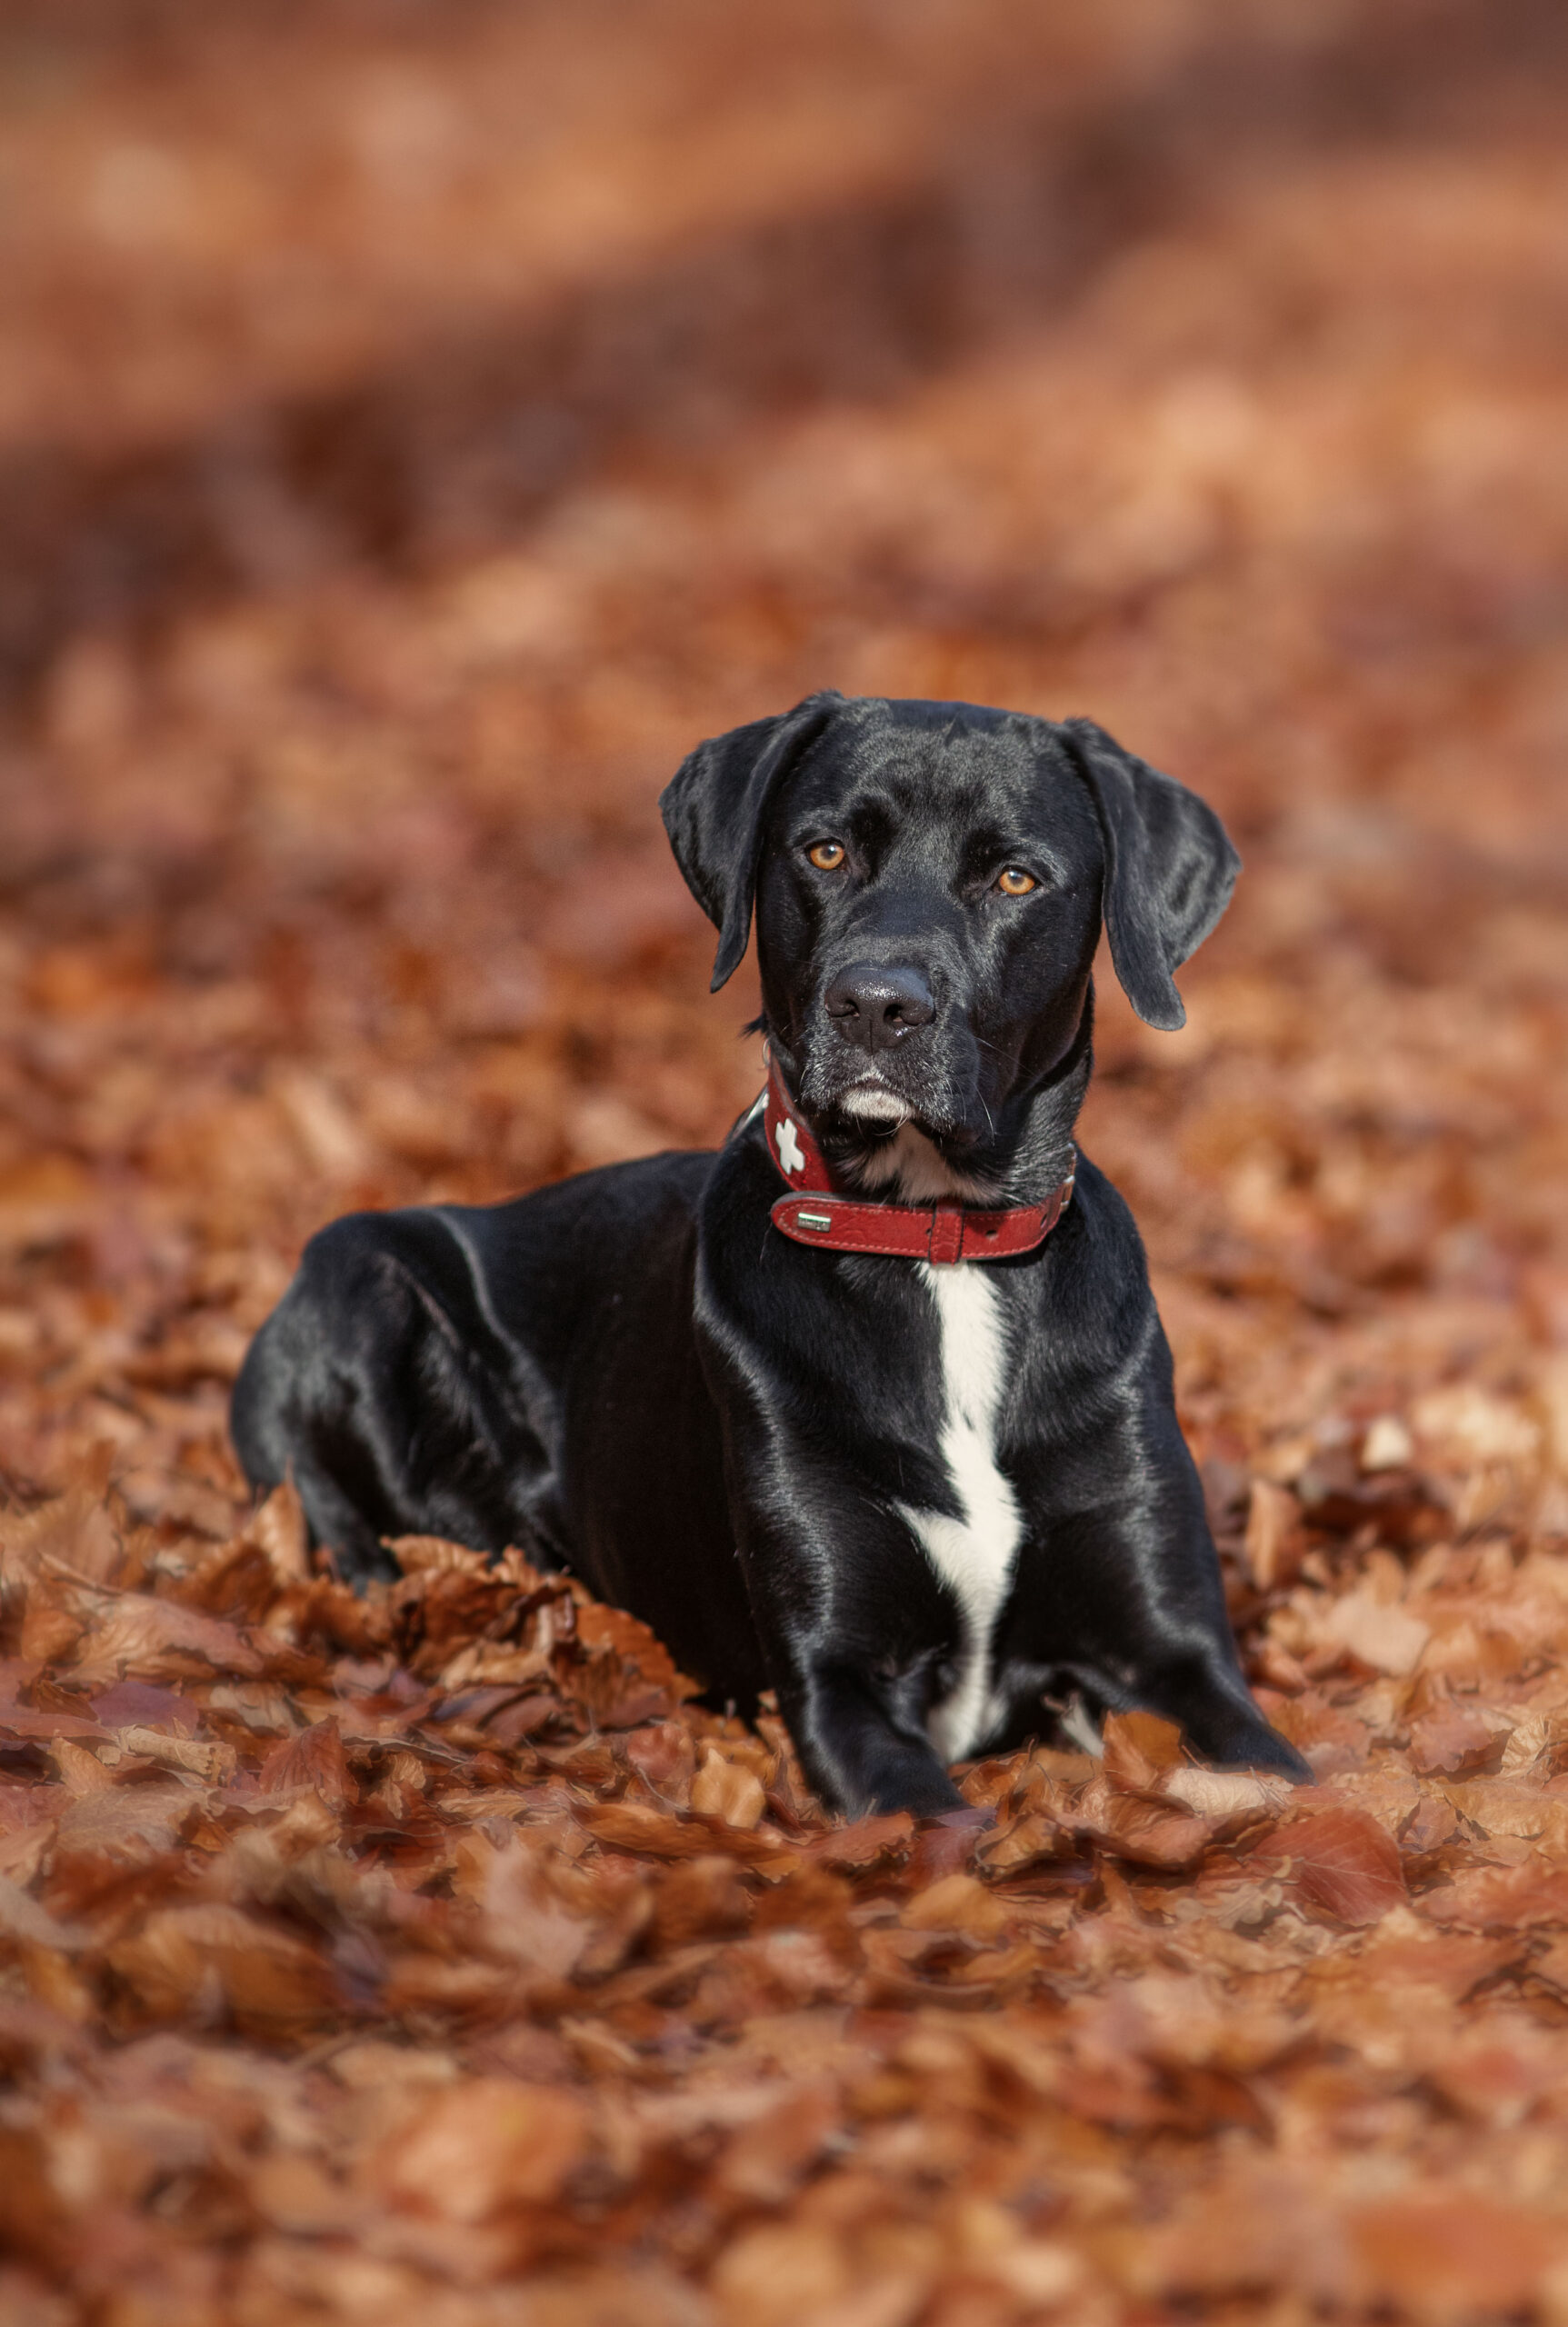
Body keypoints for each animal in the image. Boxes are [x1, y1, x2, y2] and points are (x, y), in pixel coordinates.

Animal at [229, 688, 1303, 1814]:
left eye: (1015, 877)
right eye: (826, 851)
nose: (877, 1004)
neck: (936, 1242)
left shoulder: (1172, 1653)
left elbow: (1284, 1775)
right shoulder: (838, 1674)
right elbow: (936, 1819)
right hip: (357, 1268)